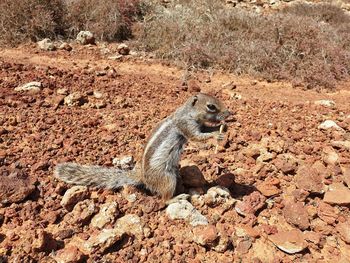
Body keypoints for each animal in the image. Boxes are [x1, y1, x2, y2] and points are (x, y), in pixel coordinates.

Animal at [54, 94, 230, 201]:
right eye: (211, 106)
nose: (229, 113)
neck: (188, 112)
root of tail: (142, 178)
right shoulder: (186, 126)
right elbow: (197, 137)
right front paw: (217, 135)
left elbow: (205, 130)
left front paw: (222, 128)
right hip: (167, 179)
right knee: (164, 200)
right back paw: (177, 197)